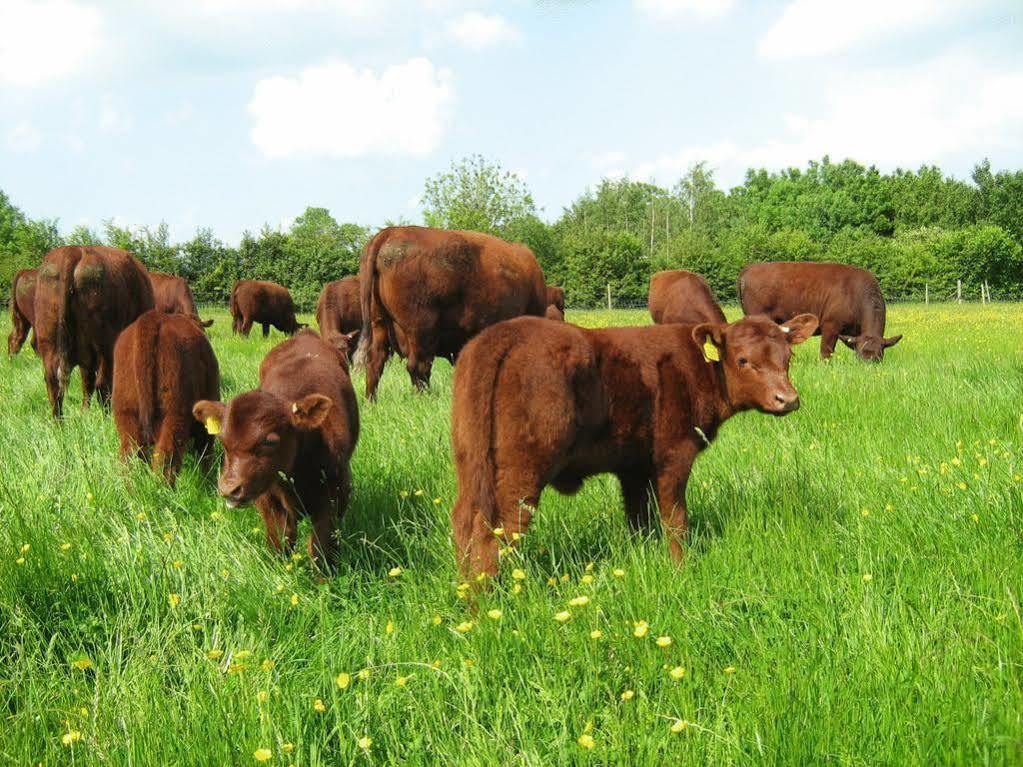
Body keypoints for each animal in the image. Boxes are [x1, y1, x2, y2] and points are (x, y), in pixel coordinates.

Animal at [113, 308, 220, 482]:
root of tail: (151, 318)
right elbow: (205, 453)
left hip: (126, 413)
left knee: (129, 456)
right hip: (174, 415)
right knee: (165, 461)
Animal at [192, 327, 360, 568]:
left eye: (270, 441)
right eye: (222, 440)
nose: (229, 489)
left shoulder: (335, 492)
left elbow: (321, 547)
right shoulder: (268, 499)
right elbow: (280, 540)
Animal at [353, 224, 548, 398]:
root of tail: (390, 232)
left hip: (379, 325)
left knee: (375, 364)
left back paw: (371, 401)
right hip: (420, 330)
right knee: (418, 367)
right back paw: (427, 399)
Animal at [452, 312, 818, 576]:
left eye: (788, 356)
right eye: (742, 360)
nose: (787, 399)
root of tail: (503, 333)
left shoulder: (634, 466)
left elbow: (639, 519)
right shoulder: (674, 454)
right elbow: (675, 518)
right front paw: (681, 570)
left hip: (471, 462)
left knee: (464, 522)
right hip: (521, 470)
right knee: (495, 531)